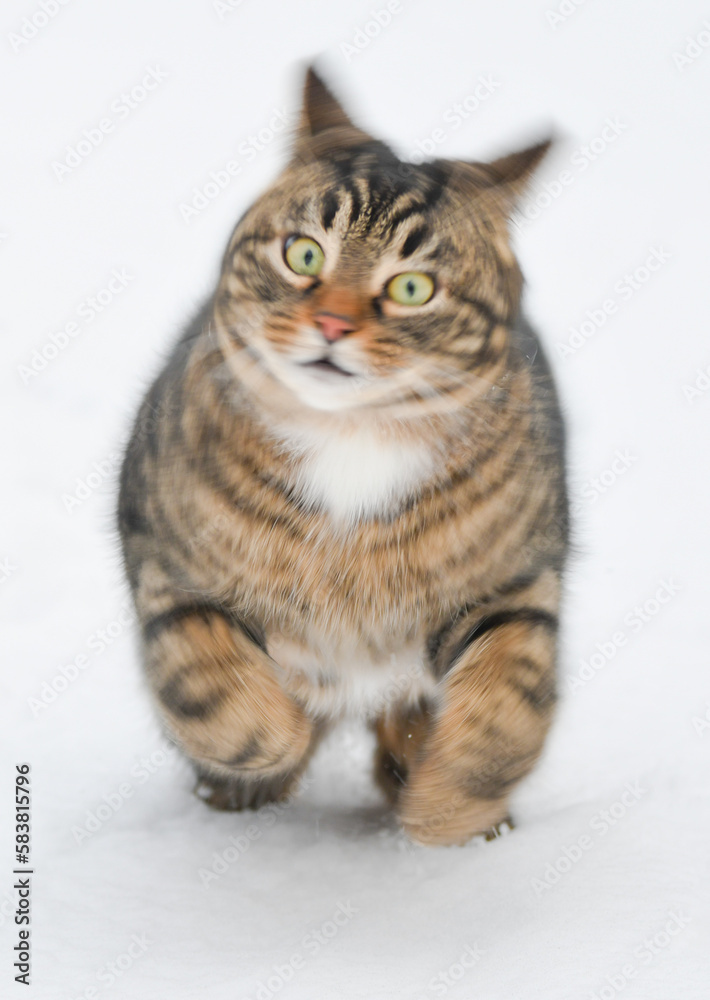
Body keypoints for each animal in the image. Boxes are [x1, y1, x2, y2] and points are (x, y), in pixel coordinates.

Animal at [119, 66, 572, 844]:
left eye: (412, 287)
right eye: (304, 253)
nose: (331, 323)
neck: (351, 440)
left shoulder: (517, 580)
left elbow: (509, 698)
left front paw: (450, 806)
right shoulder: (163, 558)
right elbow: (204, 672)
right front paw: (274, 739)